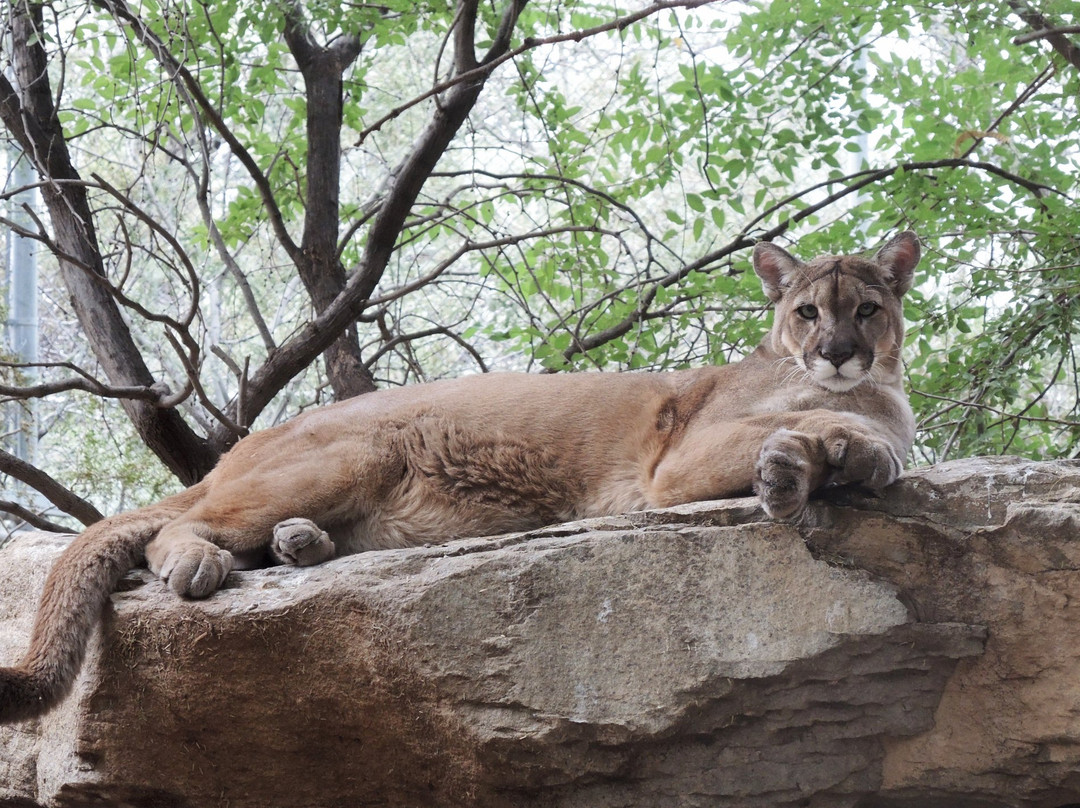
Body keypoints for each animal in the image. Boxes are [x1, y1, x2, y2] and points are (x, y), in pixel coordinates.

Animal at [0, 230, 920, 721]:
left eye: (868, 309)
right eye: (808, 311)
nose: (839, 351)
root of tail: (249, 440)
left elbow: (850, 435)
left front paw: (830, 460)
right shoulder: (676, 463)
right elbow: (815, 423)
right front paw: (832, 450)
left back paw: (301, 546)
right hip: (355, 451)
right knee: (176, 527)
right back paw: (208, 560)